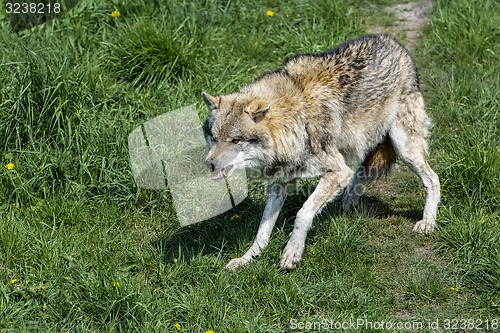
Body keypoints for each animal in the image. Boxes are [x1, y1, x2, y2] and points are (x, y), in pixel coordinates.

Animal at [201, 33, 440, 270]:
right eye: (213, 137)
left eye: (236, 140)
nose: (209, 164)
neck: (295, 120)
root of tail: (392, 40)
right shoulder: (279, 183)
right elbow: (262, 229)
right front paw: (248, 258)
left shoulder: (336, 172)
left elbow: (303, 213)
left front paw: (292, 253)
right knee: (361, 171)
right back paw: (348, 200)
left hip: (404, 147)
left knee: (433, 179)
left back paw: (427, 223)